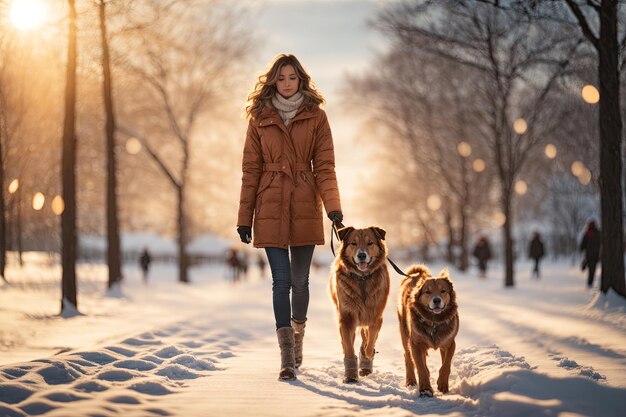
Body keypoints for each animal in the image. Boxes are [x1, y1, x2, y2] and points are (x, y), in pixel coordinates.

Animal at [330, 226, 388, 382]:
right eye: (353, 243)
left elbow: (370, 338)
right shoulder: (347, 317)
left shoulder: (375, 316)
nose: (361, 255)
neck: (362, 279)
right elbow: (349, 346)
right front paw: (350, 374)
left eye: (370, 243)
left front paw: (367, 355)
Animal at [398, 264, 456, 394]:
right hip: (405, 333)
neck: (434, 321)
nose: (437, 300)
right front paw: (425, 389)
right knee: (407, 357)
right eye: (427, 292)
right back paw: (410, 380)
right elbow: (421, 367)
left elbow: (446, 364)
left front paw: (442, 384)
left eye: (443, 291)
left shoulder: (450, 343)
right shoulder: (416, 344)